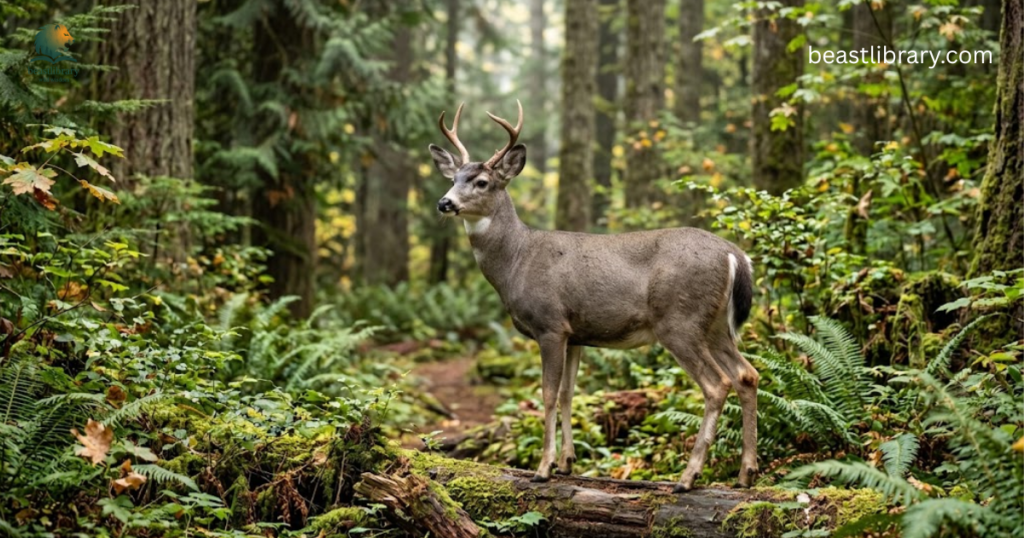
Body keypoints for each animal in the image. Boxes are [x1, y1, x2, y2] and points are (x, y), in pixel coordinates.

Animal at [428, 101, 759, 492]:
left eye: (482, 182)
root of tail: (735, 255)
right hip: (716, 326)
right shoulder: (576, 334)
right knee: (747, 375)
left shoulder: (550, 324)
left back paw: (687, 477)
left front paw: (543, 468)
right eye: (453, 178)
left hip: (680, 321)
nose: (444, 203)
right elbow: (569, 394)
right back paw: (746, 473)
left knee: (717, 384)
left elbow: (548, 394)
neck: (517, 260)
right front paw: (567, 463)